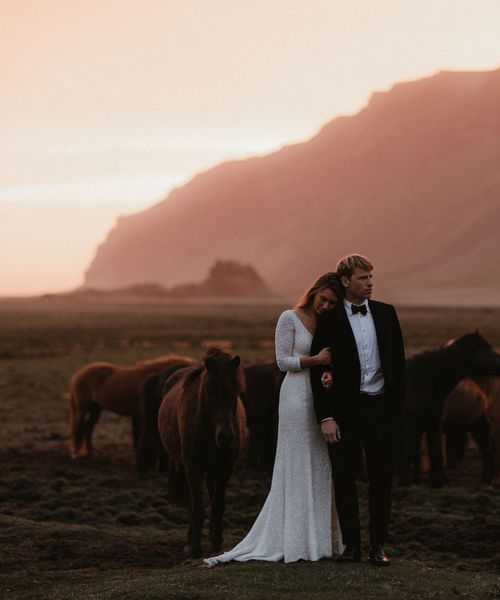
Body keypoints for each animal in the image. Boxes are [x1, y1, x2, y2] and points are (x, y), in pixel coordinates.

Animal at [158, 346, 246, 556]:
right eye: (209, 391)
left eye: (236, 391)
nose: (225, 438)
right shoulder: (193, 465)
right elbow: (197, 505)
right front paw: (195, 549)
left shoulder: (225, 467)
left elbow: (218, 505)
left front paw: (217, 545)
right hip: (184, 467)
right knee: (191, 502)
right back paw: (190, 540)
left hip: (212, 469)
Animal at [400, 330, 500, 490]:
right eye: (485, 348)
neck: (425, 380)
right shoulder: (416, 423)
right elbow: (414, 452)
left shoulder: (430, 422)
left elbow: (432, 451)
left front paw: (435, 483)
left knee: (488, 450)